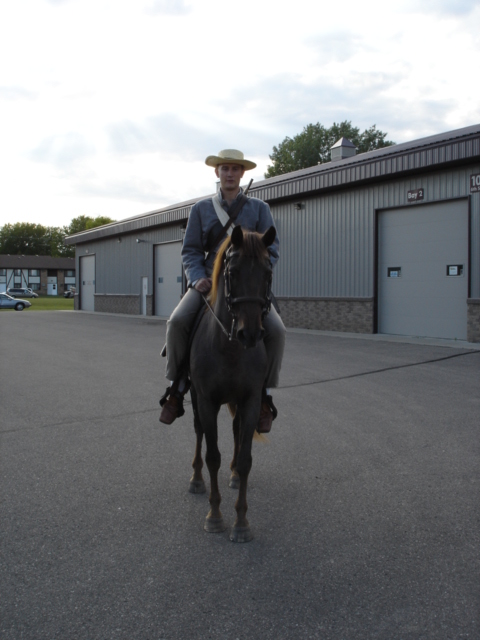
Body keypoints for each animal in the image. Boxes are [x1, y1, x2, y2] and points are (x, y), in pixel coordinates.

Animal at [188, 222, 278, 544]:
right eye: (233, 271)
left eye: (267, 272)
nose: (249, 334)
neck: (230, 348)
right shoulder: (206, 400)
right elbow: (212, 454)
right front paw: (215, 516)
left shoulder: (250, 399)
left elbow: (245, 458)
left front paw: (241, 522)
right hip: (194, 397)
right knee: (199, 432)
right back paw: (196, 479)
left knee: (238, 431)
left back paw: (235, 477)